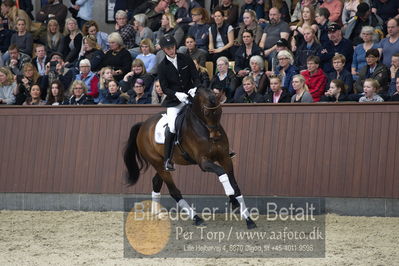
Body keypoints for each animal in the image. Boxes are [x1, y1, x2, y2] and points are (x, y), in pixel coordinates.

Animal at [123, 87, 258, 229]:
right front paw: (232, 199)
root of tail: (143, 125)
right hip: (157, 163)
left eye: (220, 111)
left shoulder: (225, 158)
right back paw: (196, 218)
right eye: (206, 113)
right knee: (174, 191)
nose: (216, 137)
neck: (203, 127)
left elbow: (235, 185)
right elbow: (222, 173)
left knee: (156, 182)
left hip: (163, 164)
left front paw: (248, 219)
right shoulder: (203, 162)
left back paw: (157, 215)